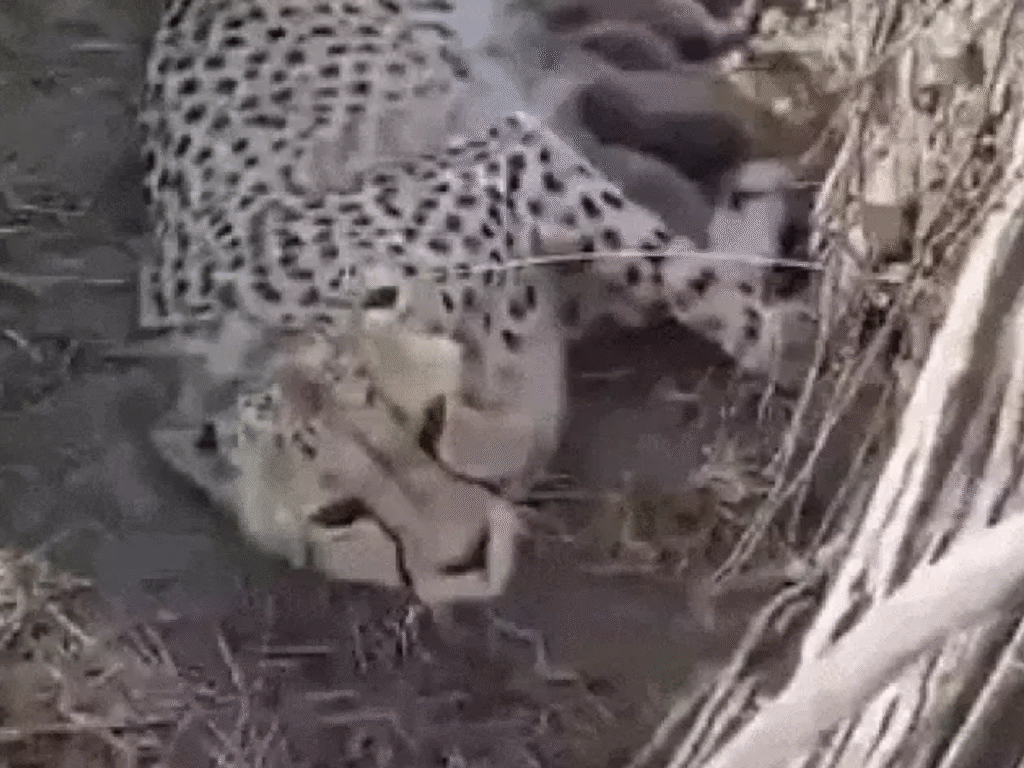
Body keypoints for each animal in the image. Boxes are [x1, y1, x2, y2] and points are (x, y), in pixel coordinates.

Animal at [138, 0, 818, 605]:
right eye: (338, 514)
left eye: (432, 422)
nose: (466, 555)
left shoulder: (513, 158)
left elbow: (677, 271)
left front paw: (788, 343)